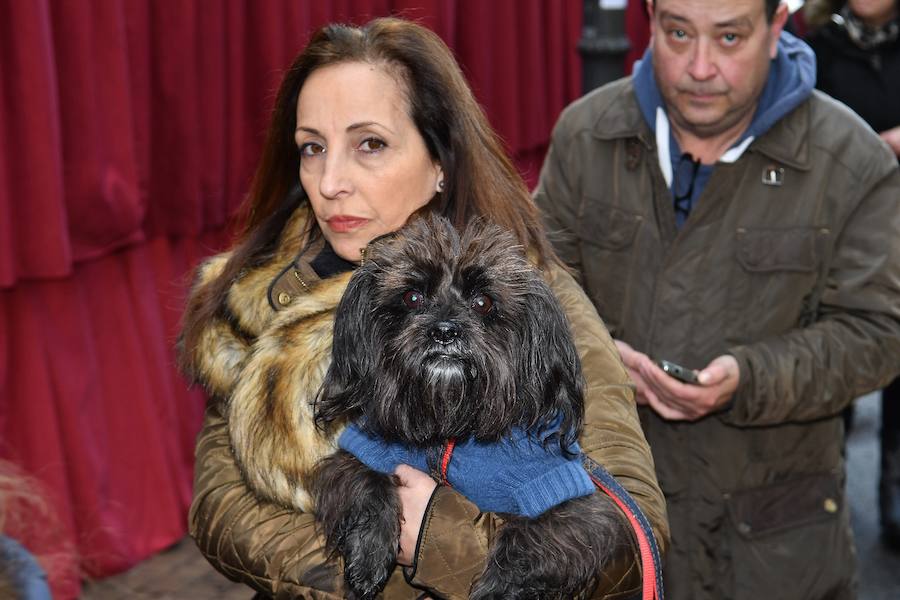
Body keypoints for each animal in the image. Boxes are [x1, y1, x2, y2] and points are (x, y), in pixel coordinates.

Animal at [312, 216, 628, 600]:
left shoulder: (570, 502)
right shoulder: (363, 452)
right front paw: (369, 556)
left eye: (482, 302)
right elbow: (366, 484)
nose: (444, 331)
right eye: (412, 297)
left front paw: (494, 591)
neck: (452, 422)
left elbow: (526, 540)